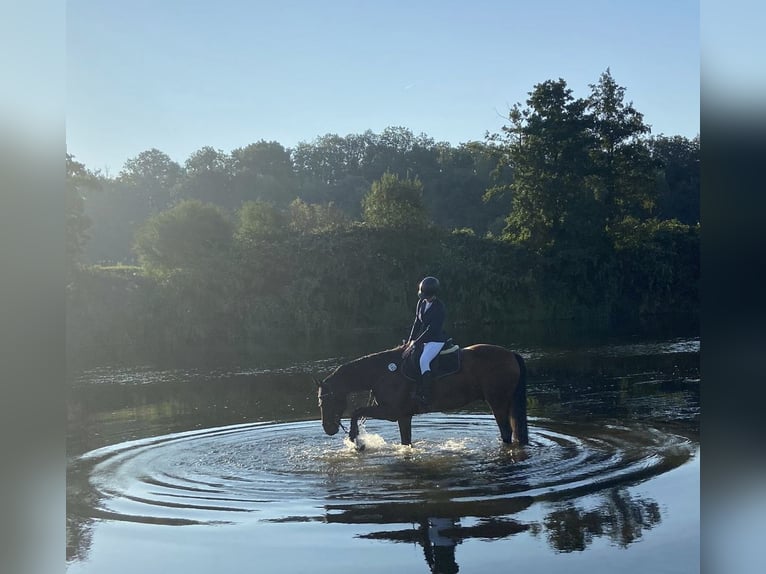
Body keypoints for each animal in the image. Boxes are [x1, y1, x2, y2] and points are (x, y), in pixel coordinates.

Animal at [316, 344, 528, 448]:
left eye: (325, 400)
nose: (328, 428)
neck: (382, 372)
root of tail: (510, 354)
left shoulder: (391, 412)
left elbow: (356, 412)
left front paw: (355, 439)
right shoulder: (403, 416)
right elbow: (406, 441)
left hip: (498, 402)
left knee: (506, 432)